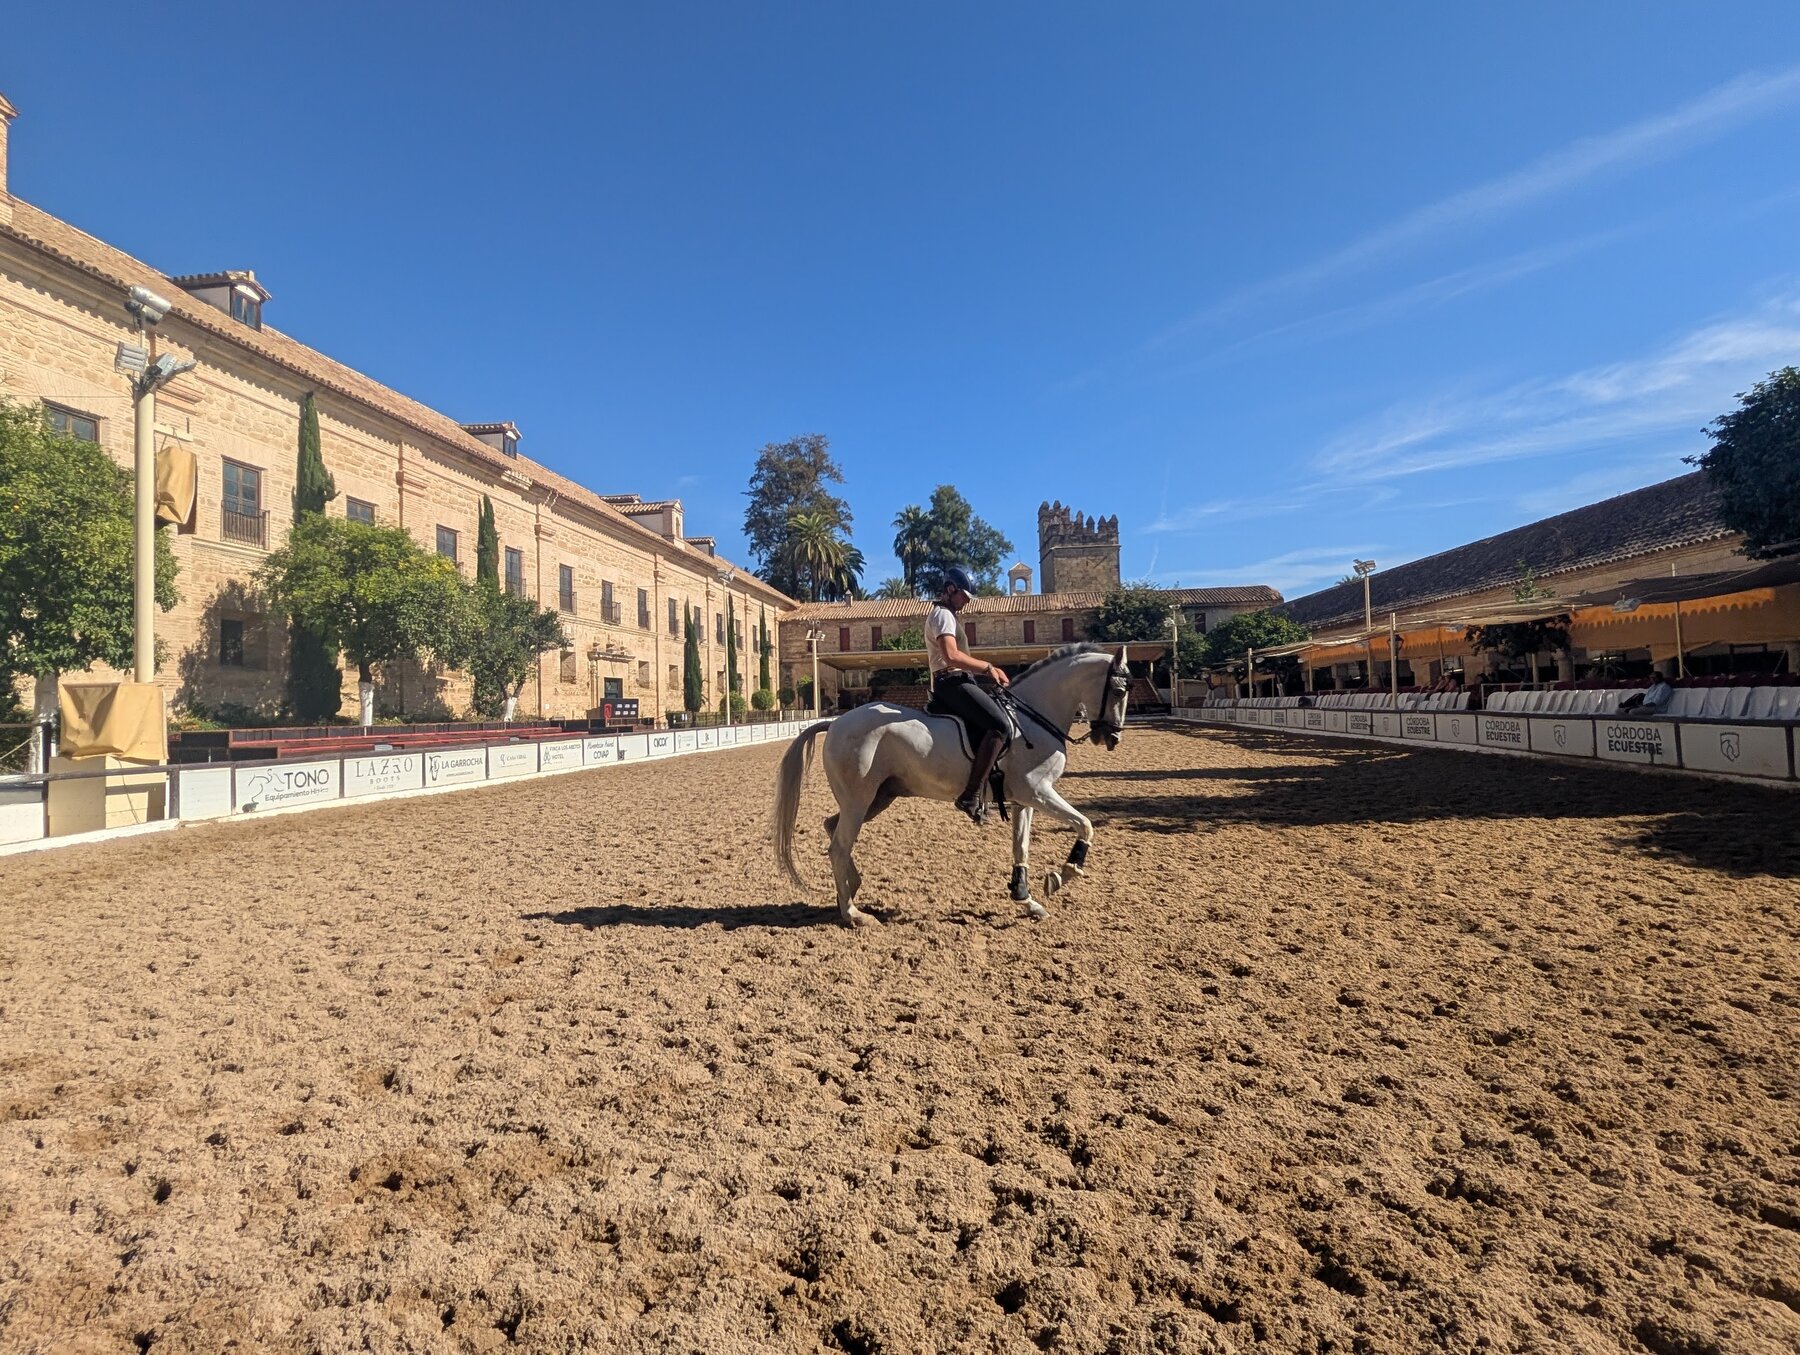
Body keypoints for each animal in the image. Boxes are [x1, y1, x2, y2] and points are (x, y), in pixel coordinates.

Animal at [772, 643, 1132, 926]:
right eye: (1118, 691)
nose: (1112, 738)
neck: (1032, 719)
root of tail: (836, 722)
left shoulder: (1024, 800)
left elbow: (1021, 846)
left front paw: (1026, 898)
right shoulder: (1038, 792)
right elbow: (1085, 825)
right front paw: (1064, 874)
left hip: (877, 798)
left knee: (832, 828)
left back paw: (851, 890)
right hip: (860, 800)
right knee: (839, 846)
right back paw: (853, 914)